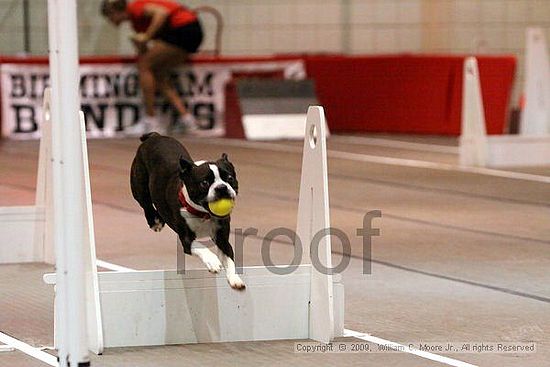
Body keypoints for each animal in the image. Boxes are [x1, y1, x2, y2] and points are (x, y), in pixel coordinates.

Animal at [130, 132, 245, 290]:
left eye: (229, 178)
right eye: (204, 183)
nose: (222, 187)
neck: (203, 214)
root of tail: (154, 135)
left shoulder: (222, 239)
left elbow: (229, 259)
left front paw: (235, 279)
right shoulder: (186, 240)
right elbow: (201, 246)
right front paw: (213, 261)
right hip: (139, 186)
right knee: (145, 203)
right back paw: (155, 221)